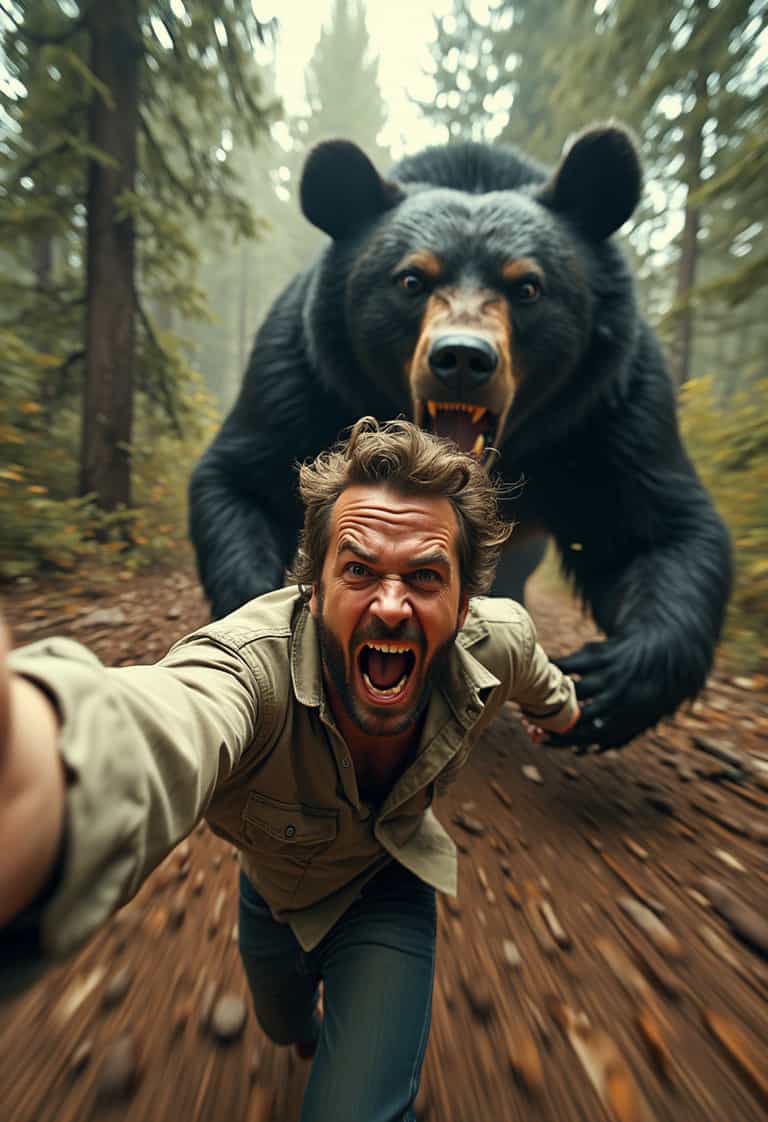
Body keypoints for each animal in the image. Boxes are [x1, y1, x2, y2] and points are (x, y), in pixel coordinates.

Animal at [189, 124, 732, 751]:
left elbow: (656, 528)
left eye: (527, 287)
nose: (463, 358)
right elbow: (244, 476)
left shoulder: (604, 409)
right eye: (410, 279)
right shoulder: (306, 374)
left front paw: (607, 684)